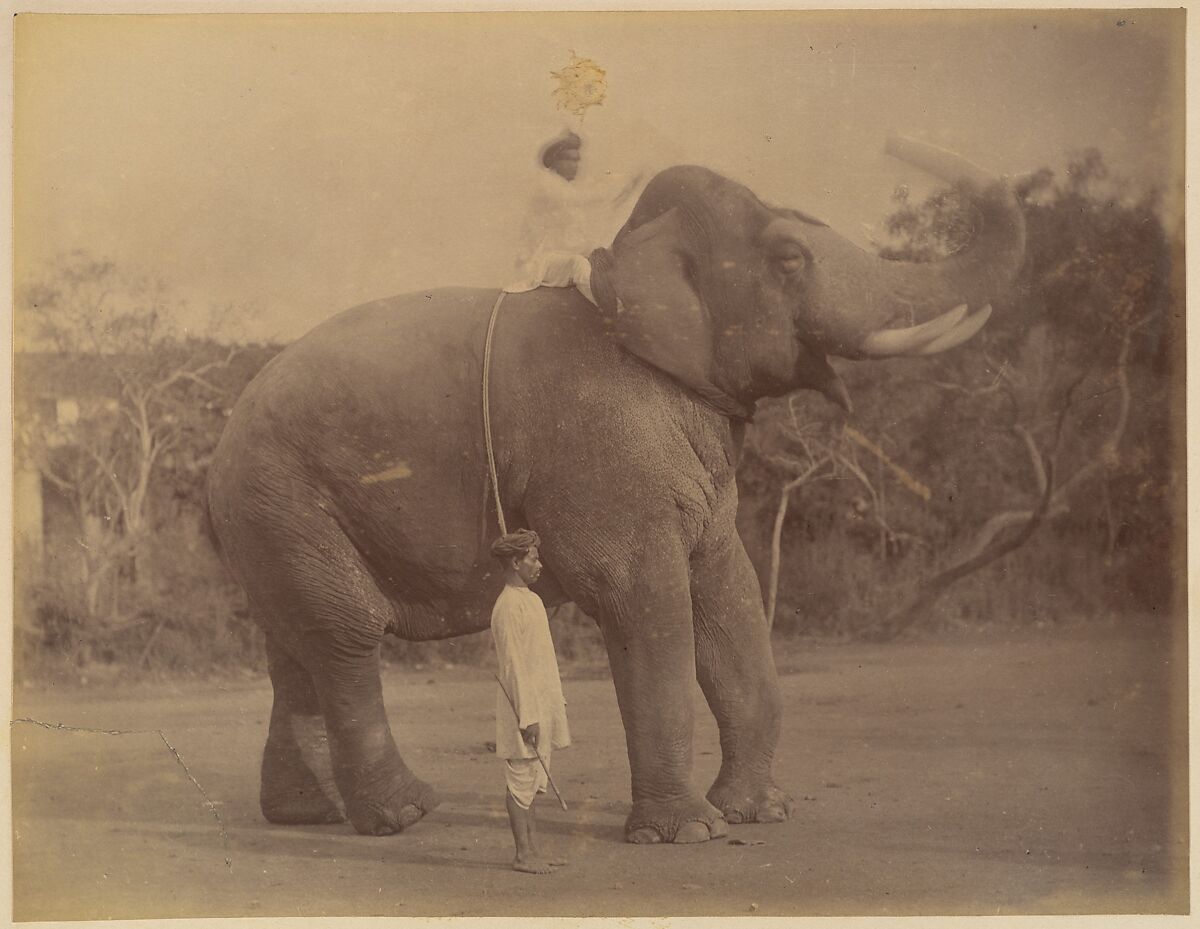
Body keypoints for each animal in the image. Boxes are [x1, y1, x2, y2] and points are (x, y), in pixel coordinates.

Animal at [206, 136, 1022, 844]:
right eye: (789, 257)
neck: (631, 259)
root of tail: (222, 443)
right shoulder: (600, 443)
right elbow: (640, 594)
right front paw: (688, 833)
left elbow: (729, 591)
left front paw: (761, 813)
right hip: (284, 495)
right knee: (347, 634)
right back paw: (405, 815)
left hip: (274, 517)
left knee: (299, 642)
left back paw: (307, 815)